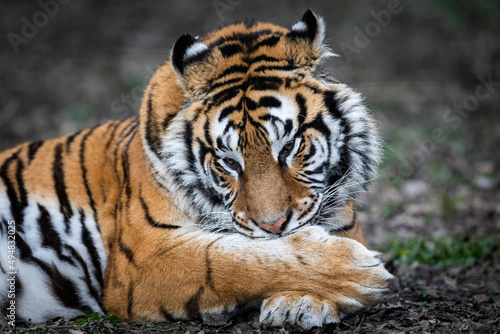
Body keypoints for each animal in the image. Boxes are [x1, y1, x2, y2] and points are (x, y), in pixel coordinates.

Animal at [0, 9, 392, 330]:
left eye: (289, 147)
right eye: (229, 162)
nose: (273, 225)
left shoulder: (343, 223)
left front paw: (300, 303)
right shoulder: (143, 259)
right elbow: (230, 260)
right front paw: (356, 271)